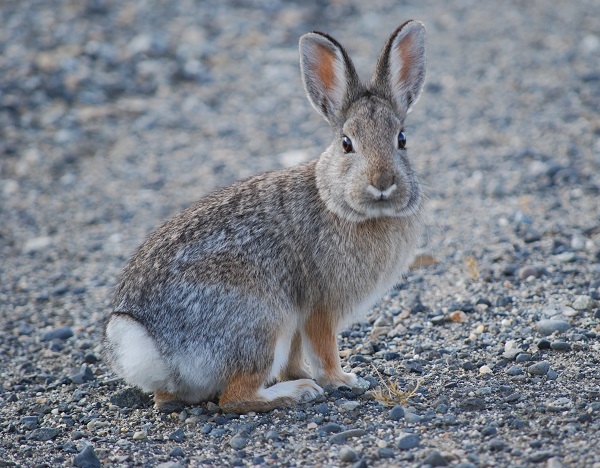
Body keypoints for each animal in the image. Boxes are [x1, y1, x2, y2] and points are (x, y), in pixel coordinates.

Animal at [105, 21, 428, 414]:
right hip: (262, 321)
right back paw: (297, 392)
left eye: (402, 139)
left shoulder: (300, 321)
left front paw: (302, 373)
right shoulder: (320, 306)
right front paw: (343, 379)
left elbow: (295, 355)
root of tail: (153, 345)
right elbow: (324, 348)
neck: (339, 203)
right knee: (234, 397)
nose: (382, 183)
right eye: (346, 144)